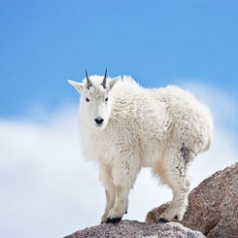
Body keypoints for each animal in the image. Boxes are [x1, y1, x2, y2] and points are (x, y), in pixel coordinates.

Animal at [68, 69, 213, 224]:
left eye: (106, 98)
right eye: (87, 99)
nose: (99, 120)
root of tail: (207, 120)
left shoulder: (125, 153)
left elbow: (120, 184)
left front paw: (115, 215)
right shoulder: (105, 161)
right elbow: (109, 189)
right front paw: (105, 217)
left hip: (177, 150)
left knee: (182, 183)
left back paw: (168, 215)